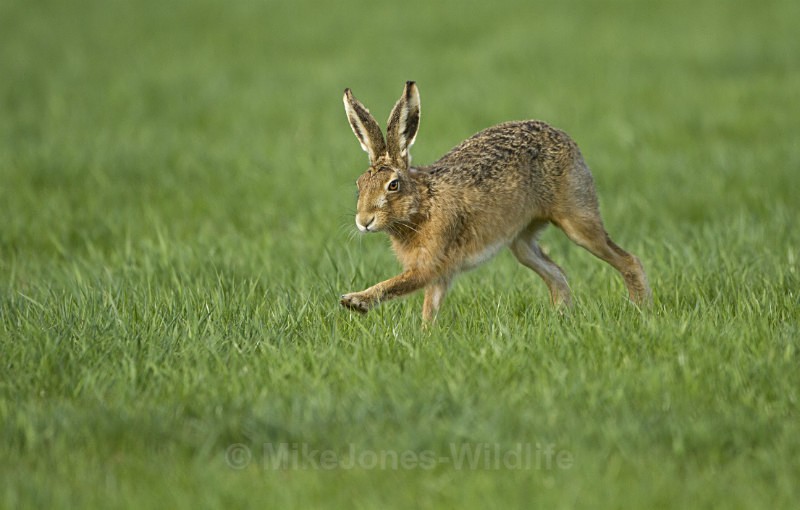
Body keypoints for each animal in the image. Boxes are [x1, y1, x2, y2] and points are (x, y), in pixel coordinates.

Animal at [341, 81, 651, 322]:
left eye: (393, 185)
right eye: (359, 186)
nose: (364, 221)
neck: (423, 202)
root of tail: (565, 138)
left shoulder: (431, 262)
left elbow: (398, 285)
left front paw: (354, 301)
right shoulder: (441, 272)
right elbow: (430, 309)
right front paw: (425, 336)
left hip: (577, 219)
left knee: (628, 260)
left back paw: (641, 309)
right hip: (521, 241)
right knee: (557, 273)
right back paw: (562, 319)